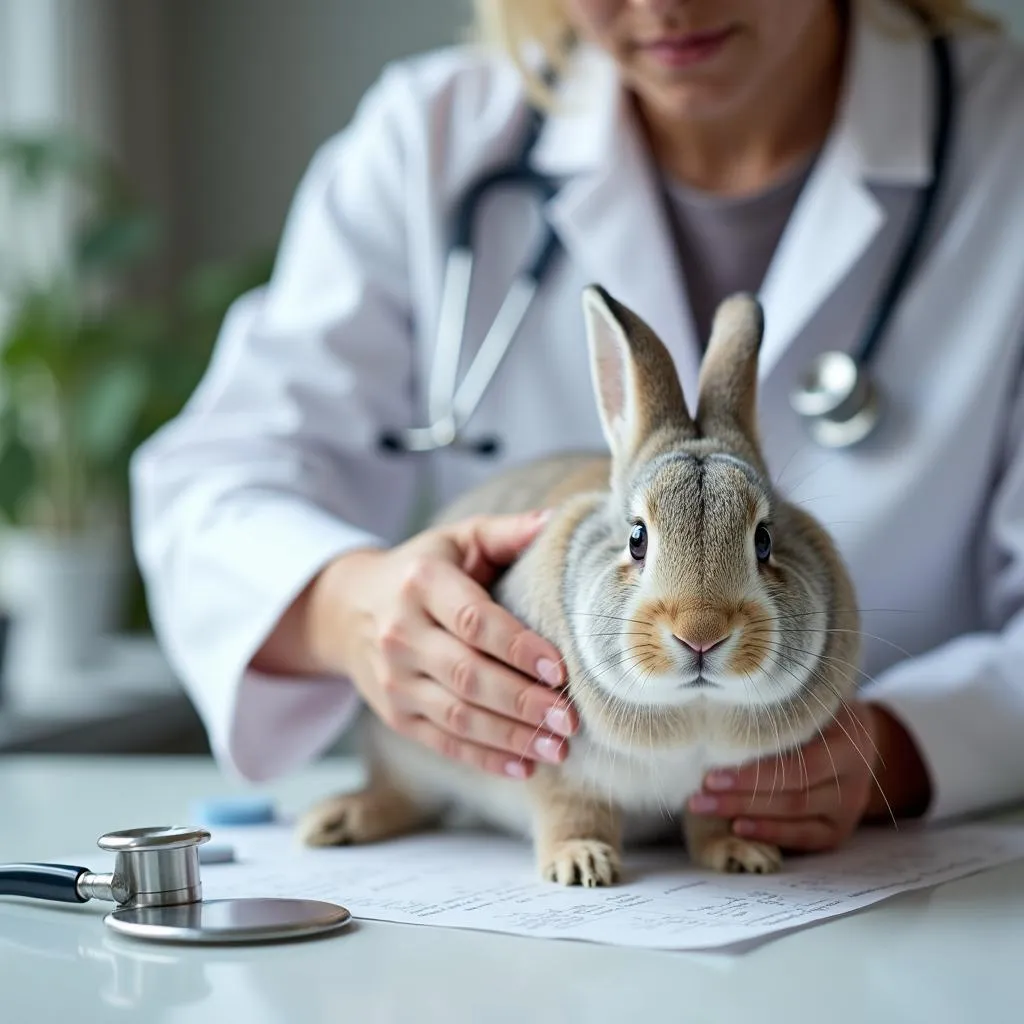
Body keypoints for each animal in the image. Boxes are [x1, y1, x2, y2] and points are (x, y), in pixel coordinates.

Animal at [299, 284, 864, 884]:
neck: (694, 710)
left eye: (764, 541)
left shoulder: (722, 781)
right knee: (402, 793)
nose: (701, 635)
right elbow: (572, 812)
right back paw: (334, 822)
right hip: (403, 748)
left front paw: (744, 854)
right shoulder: (557, 764)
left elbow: (712, 819)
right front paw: (581, 865)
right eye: (637, 538)